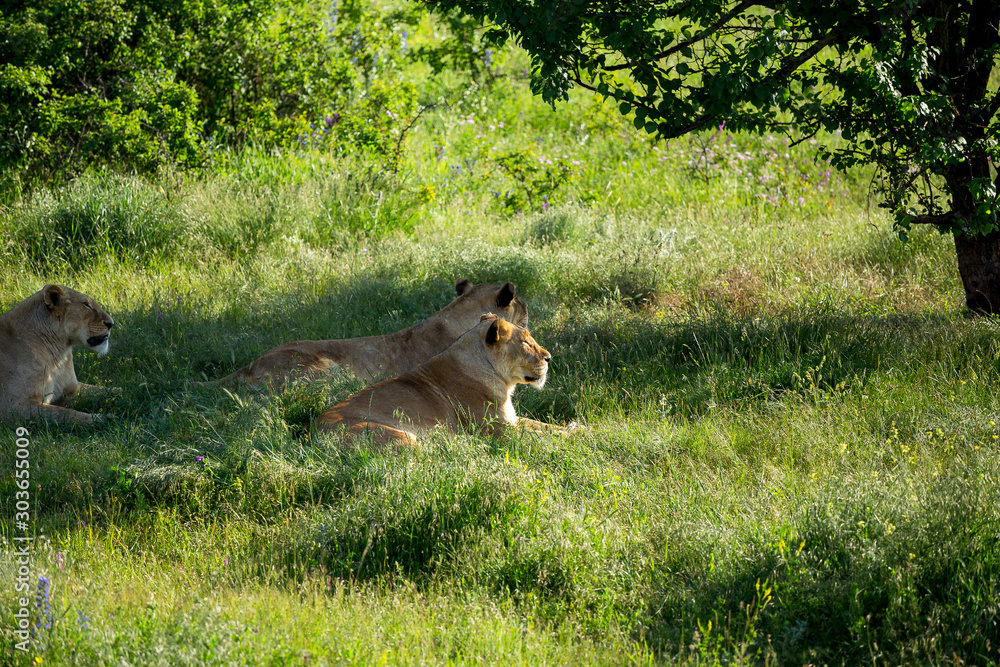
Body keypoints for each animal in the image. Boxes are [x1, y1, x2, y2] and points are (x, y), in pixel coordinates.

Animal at [0, 284, 115, 424]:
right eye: (86, 305)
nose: (111, 323)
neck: (58, 353)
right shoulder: (13, 406)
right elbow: (65, 413)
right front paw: (103, 418)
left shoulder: (72, 388)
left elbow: (105, 390)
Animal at [316, 313, 567, 447]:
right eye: (525, 341)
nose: (549, 357)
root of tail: (313, 433)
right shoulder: (502, 432)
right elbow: (543, 437)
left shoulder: (512, 421)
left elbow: (545, 426)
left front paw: (574, 429)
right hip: (399, 436)